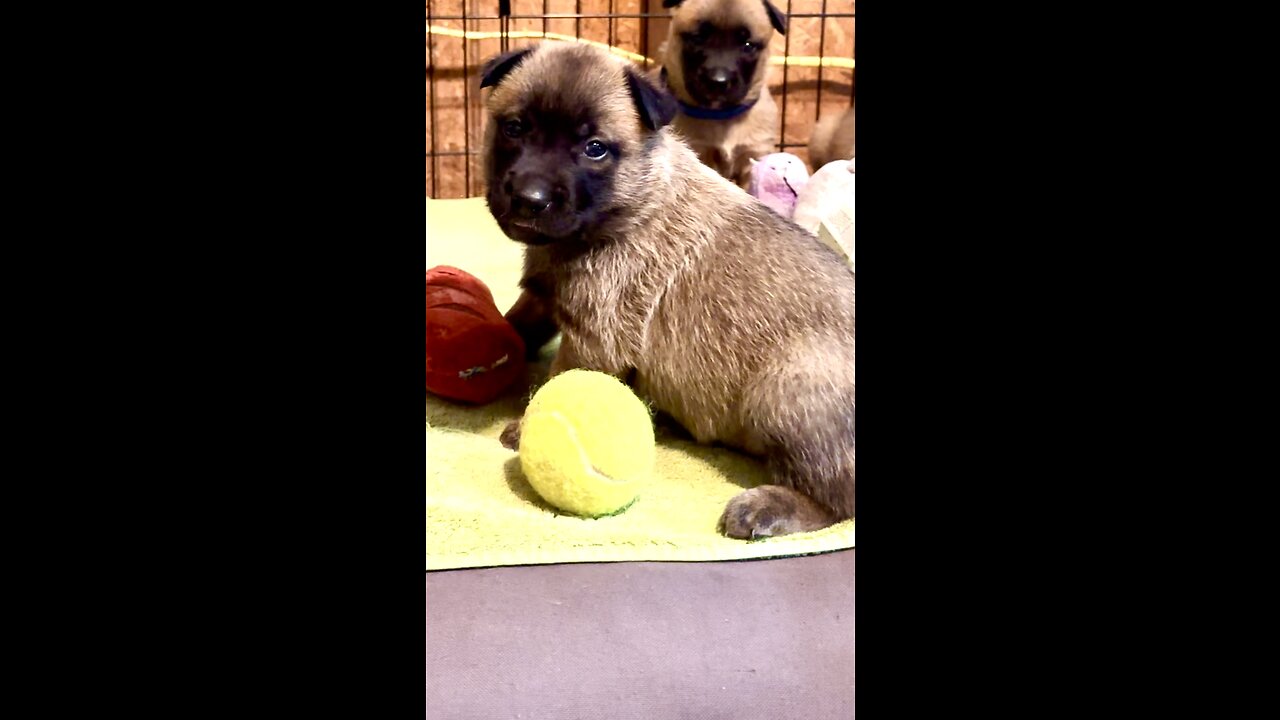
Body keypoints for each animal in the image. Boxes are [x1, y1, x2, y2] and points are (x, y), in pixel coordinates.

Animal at [483, 43, 855, 538]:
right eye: (514, 127)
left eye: (594, 149)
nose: (530, 199)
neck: (628, 207)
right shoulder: (545, 297)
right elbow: (515, 323)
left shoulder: (595, 338)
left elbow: (558, 378)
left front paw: (523, 427)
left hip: (786, 388)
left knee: (839, 496)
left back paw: (767, 508)